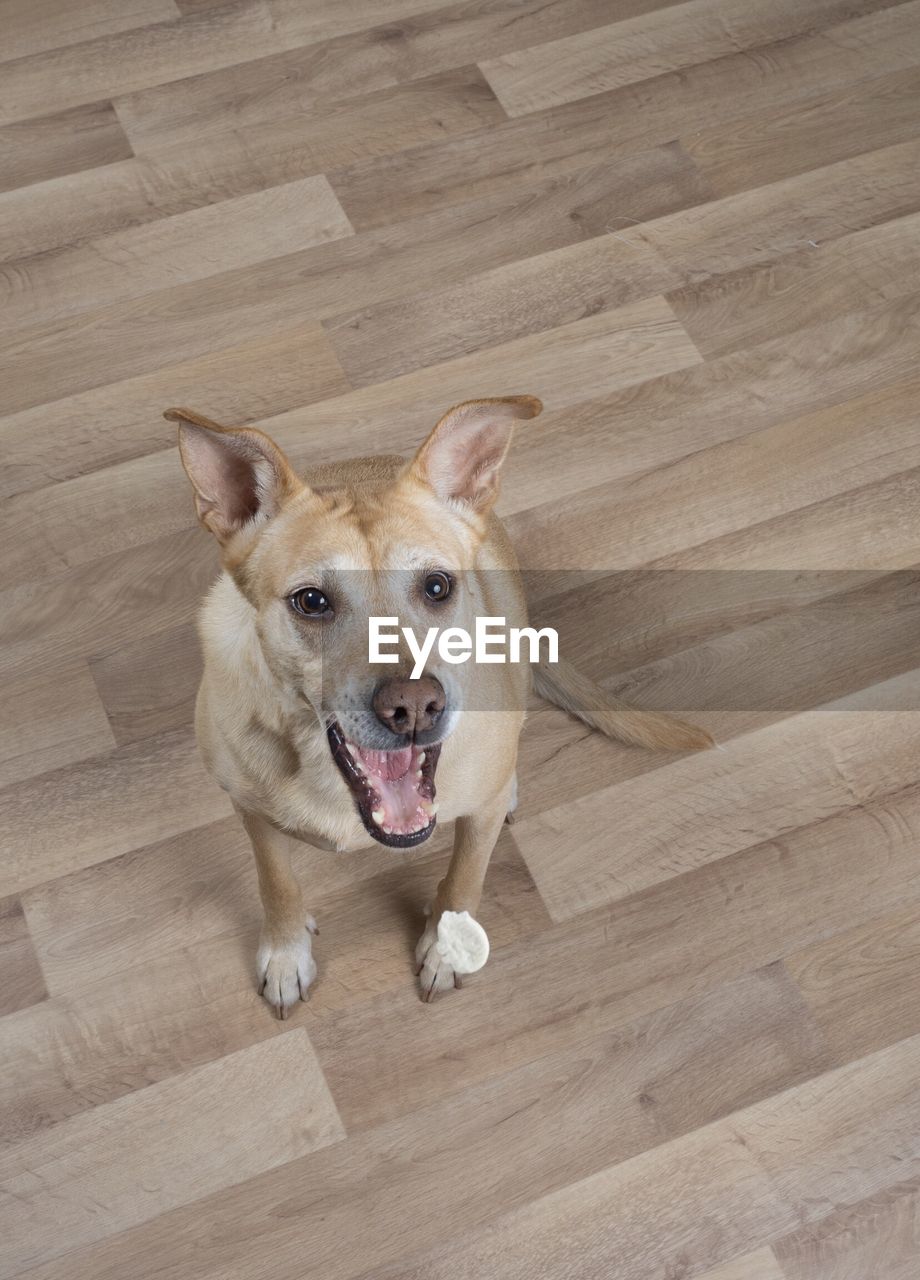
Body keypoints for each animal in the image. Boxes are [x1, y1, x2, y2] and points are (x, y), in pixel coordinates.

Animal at [167, 394, 711, 1013]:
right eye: (311, 601)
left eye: (437, 587)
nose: (414, 706)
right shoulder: (250, 811)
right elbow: (276, 883)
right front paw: (286, 954)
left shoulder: (473, 826)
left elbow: (462, 881)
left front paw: (447, 950)